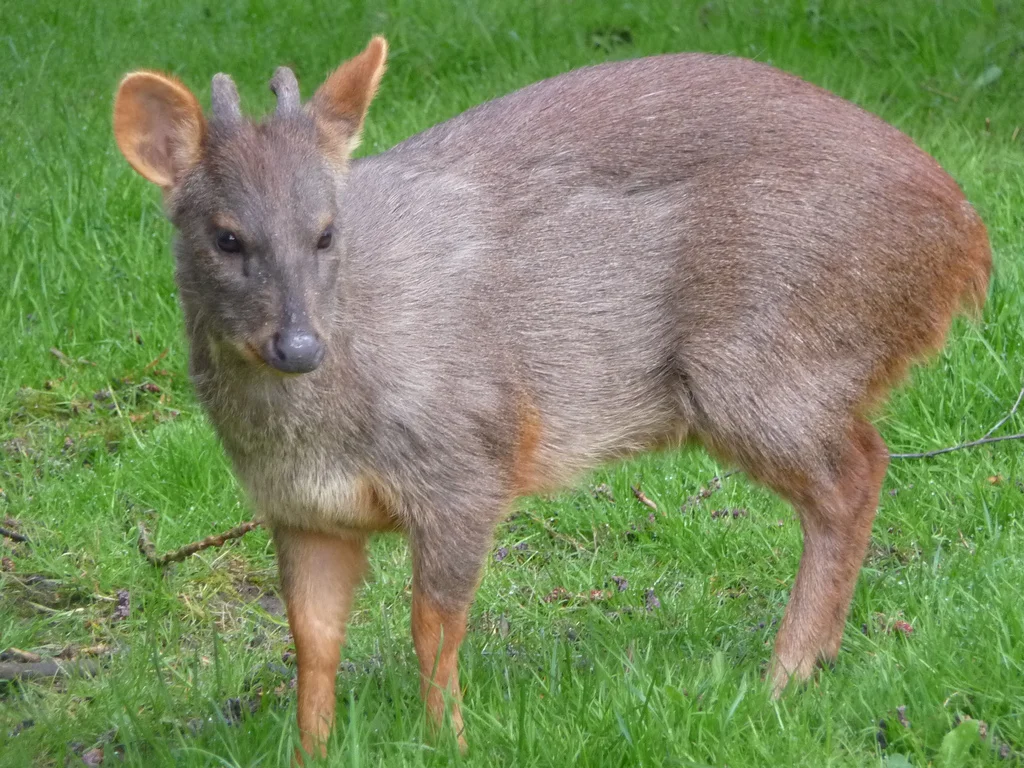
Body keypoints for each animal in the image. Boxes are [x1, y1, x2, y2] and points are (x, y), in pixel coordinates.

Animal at [114, 37, 991, 765]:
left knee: (856, 472)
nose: (298, 347)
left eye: (327, 232)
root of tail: (966, 240)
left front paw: (450, 744)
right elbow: (313, 641)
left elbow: (433, 628)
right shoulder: (303, 510)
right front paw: (313, 754)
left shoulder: (468, 461)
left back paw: (784, 676)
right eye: (226, 236)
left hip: (763, 360)